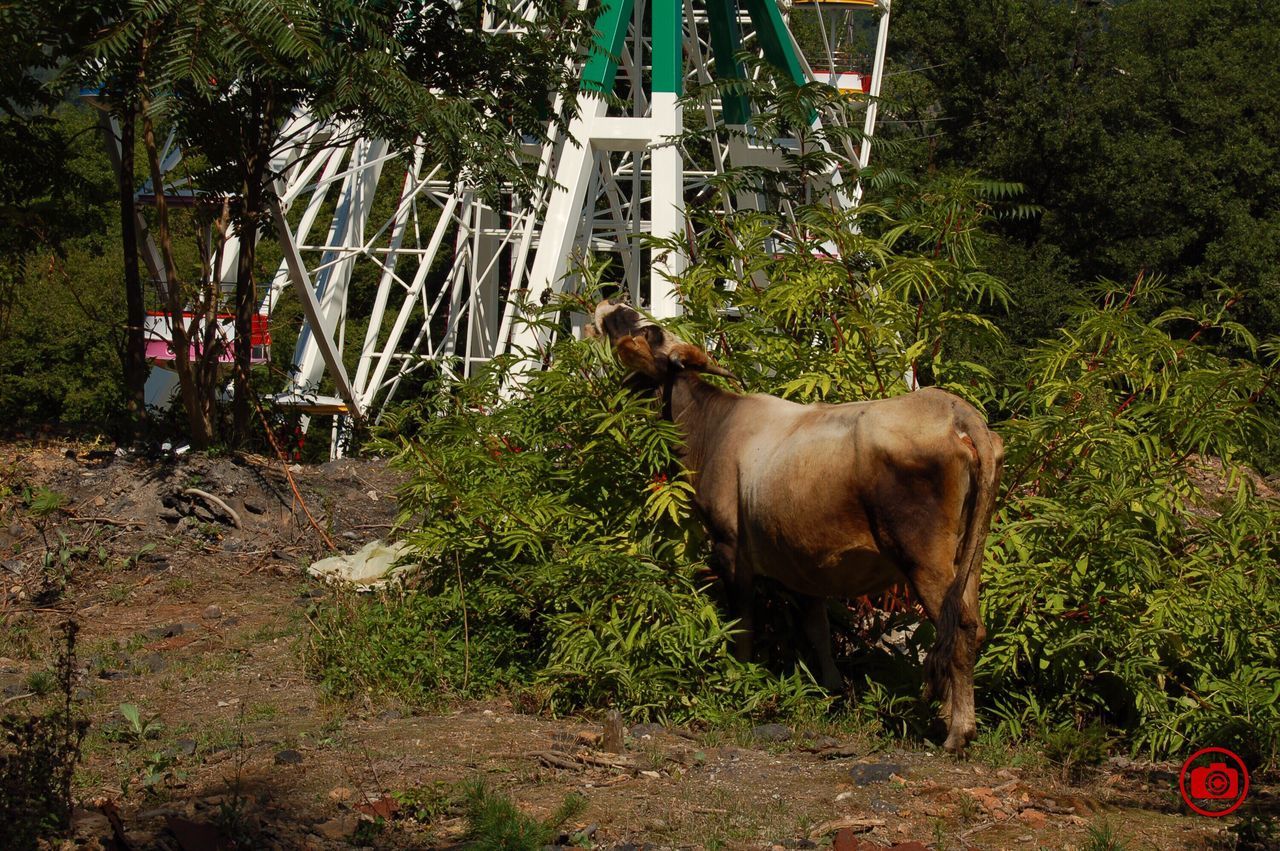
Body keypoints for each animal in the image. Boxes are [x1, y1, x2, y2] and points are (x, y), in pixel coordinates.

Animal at [593, 300, 1003, 752]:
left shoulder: (730, 548)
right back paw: (950, 717)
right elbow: (817, 630)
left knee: (959, 626)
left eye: (649, 331)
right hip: (968, 554)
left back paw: (958, 732)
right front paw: (832, 690)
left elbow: (743, 625)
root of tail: (956, 411)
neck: (711, 427)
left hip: (923, 556)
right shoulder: (804, 561)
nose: (612, 301)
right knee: (970, 627)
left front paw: (740, 682)